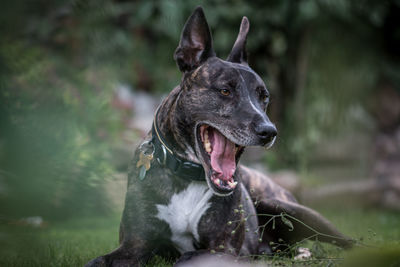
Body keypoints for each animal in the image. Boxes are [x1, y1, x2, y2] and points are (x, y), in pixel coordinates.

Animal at [87, 6, 354, 267]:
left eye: (264, 96)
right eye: (225, 91)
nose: (269, 131)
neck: (186, 177)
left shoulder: (224, 248)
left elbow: (188, 257)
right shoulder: (134, 244)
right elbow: (100, 261)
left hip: (292, 209)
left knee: (344, 242)